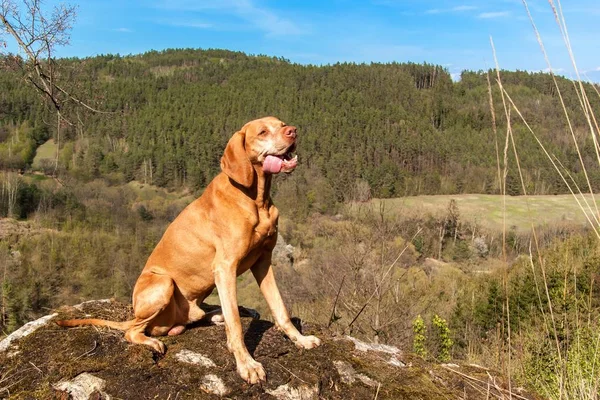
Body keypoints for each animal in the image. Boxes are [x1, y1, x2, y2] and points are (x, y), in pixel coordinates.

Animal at [58, 116, 322, 384]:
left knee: (200, 315)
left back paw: (219, 314)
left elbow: (280, 309)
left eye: (282, 123)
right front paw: (247, 364)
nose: (293, 131)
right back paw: (152, 340)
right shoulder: (225, 268)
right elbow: (236, 325)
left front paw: (300, 339)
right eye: (262, 132)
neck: (255, 199)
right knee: (132, 331)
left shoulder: (264, 262)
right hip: (163, 284)